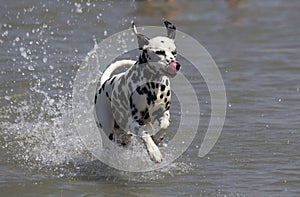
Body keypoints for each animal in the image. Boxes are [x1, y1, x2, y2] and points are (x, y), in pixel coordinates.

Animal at [94, 21, 180, 163]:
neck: (153, 87)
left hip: (125, 136)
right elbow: (145, 135)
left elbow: (165, 124)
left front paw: (157, 138)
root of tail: (103, 84)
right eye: (160, 52)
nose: (176, 65)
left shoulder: (163, 113)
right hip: (108, 132)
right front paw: (154, 152)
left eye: (174, 52)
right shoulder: (133, 122)